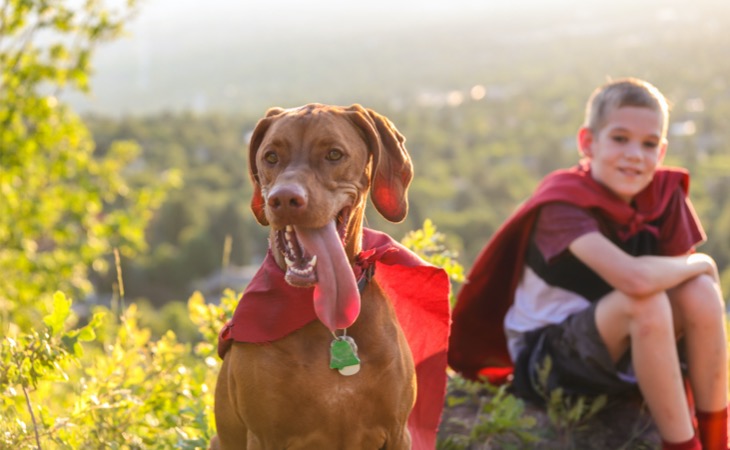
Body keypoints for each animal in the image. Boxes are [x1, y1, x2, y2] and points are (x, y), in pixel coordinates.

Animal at [210, 104, 450, 450]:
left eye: (334, 154)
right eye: (271, 157)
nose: (284, 199)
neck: (326, 320)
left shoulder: (398, 432)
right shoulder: (265, 437)